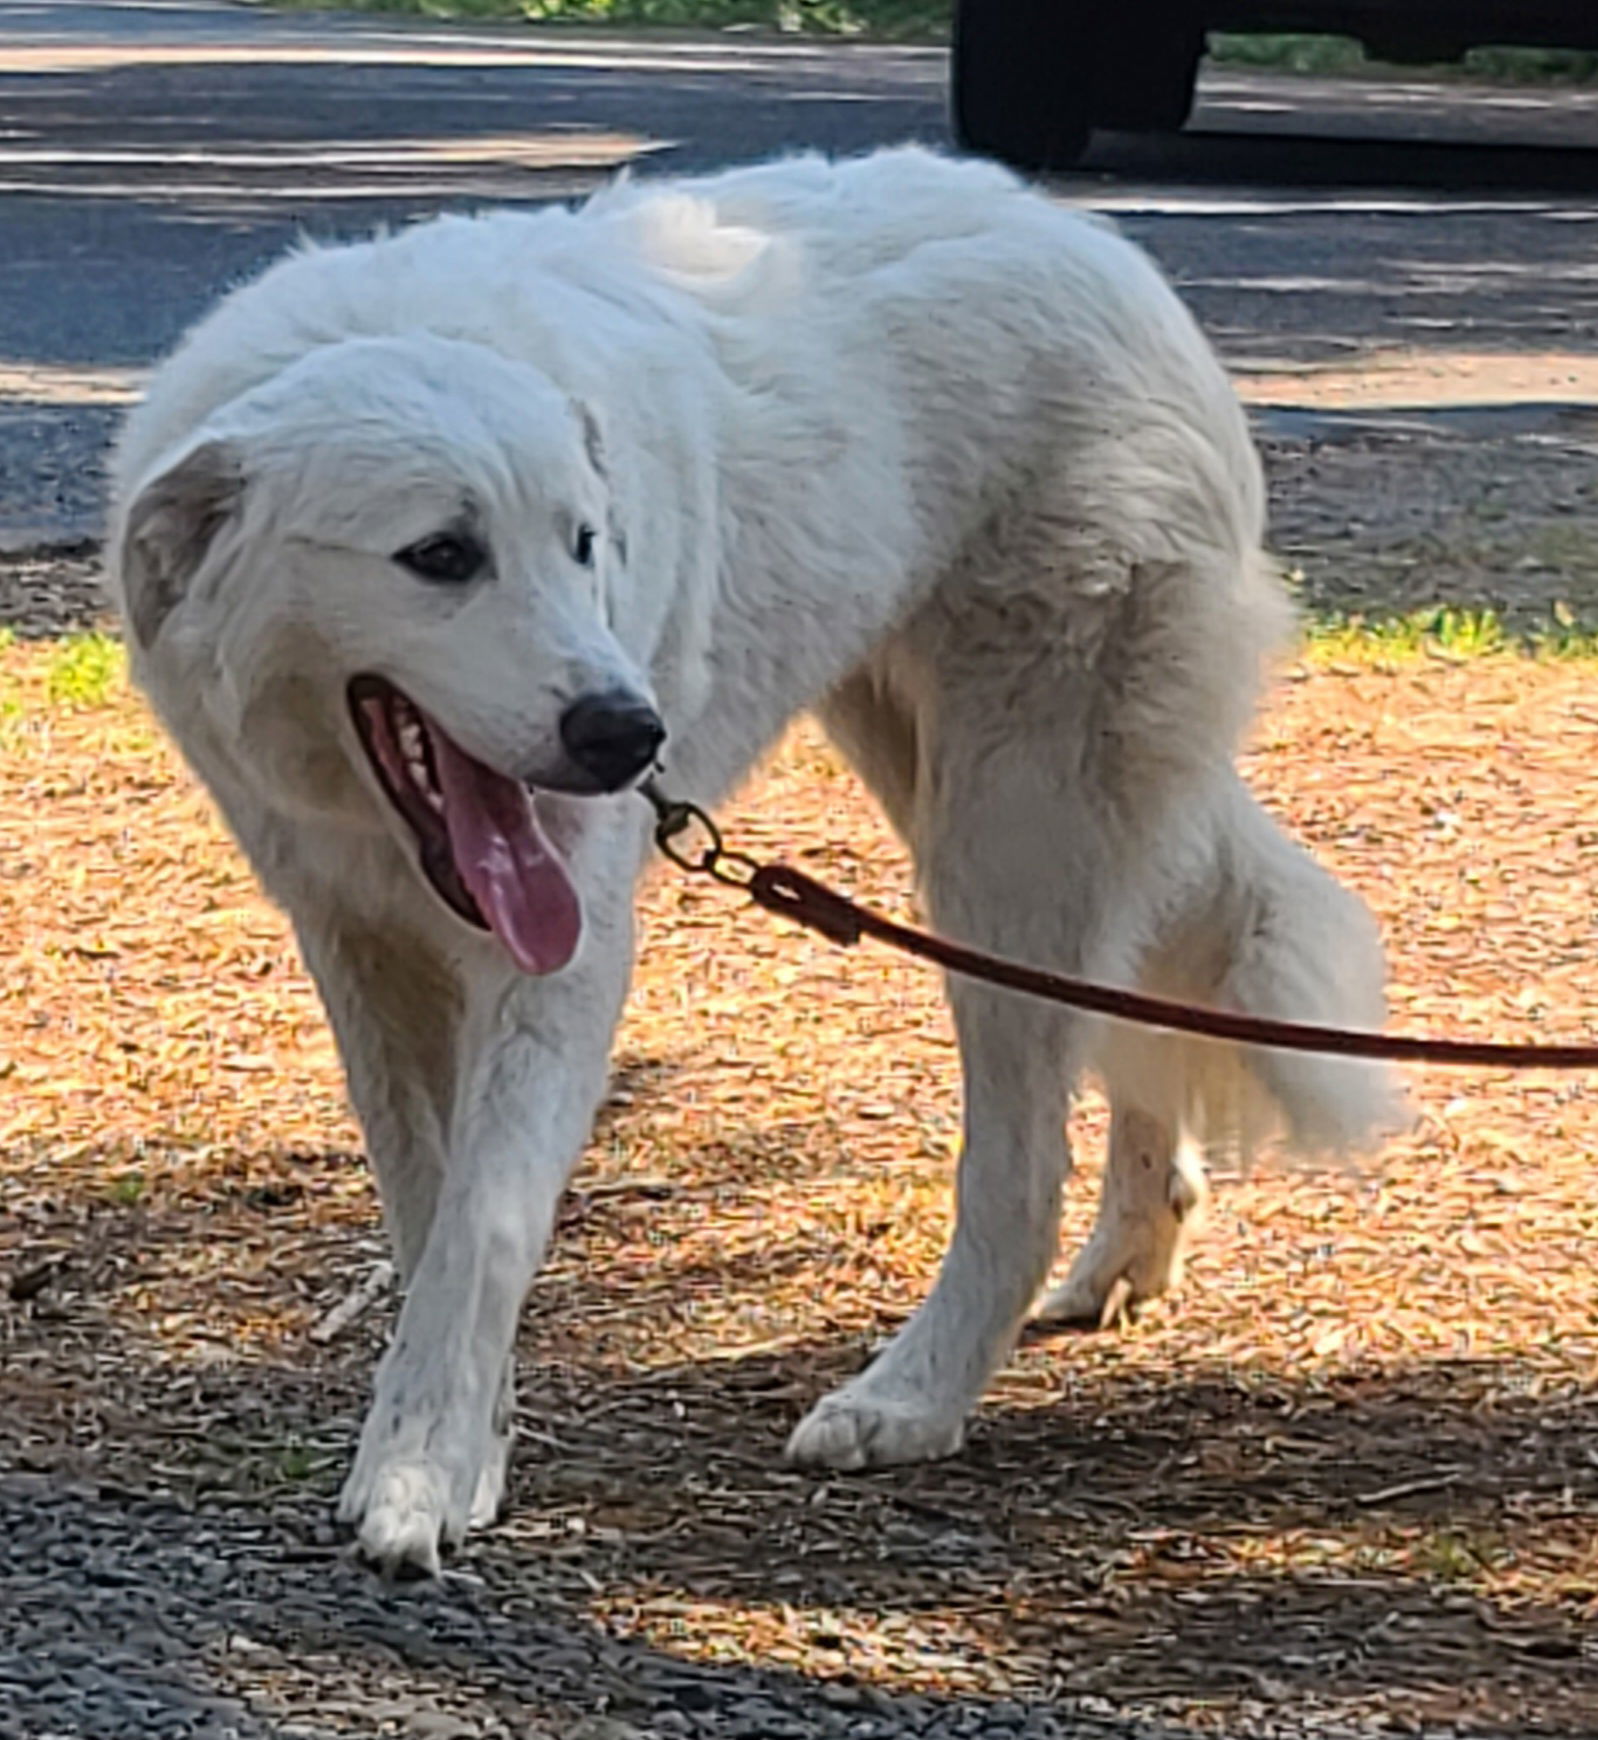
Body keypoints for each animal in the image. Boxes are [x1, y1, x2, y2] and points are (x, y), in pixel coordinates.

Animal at [106, 142, 1399, 1572]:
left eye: (583, 541)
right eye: (439, 556)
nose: (629, 734)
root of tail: (1088, 238)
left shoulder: (560, 966)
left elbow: (485, 1224)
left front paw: (417, 1478)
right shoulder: (358, 948)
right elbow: (427, 1206)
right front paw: (469, 1441)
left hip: (1007, 834)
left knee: (1016, 1169)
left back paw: (909, 1399)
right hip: (966, 790)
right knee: (1121, 1011)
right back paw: (1124, 1255)